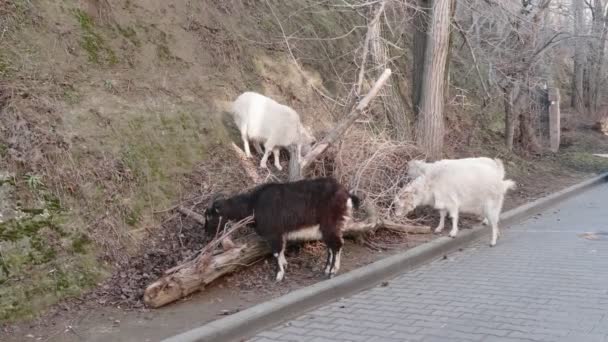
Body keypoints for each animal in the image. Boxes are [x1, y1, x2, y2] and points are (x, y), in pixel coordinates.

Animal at [203, 176, 360, 280]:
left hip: (330, 223)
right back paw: (327, 269)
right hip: (328, 225)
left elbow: (276, 252)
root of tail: (347, 194)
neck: (253, 204)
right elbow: (282, 250)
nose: (206, 233)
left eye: (210, 216)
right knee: (331, 247)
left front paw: (278, 275)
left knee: (336, 245)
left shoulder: (273, 233)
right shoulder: (280, 233)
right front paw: (285, 265)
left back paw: (332, 271)